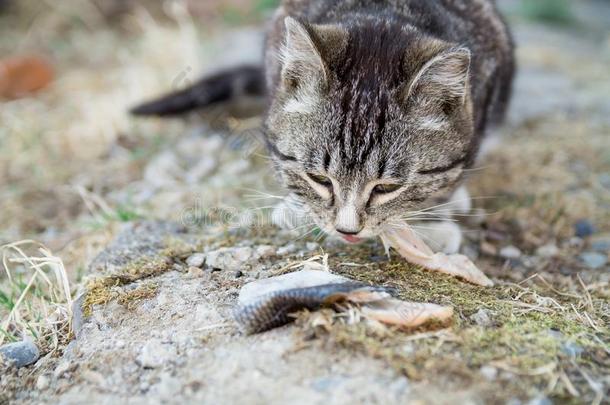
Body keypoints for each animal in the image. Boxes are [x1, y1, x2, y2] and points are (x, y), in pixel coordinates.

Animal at [132, 0, 512, 252]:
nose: (347, 230)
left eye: (388, 187)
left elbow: (448, 180)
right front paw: (297, 207)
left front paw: (430, 223)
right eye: (319, 179)